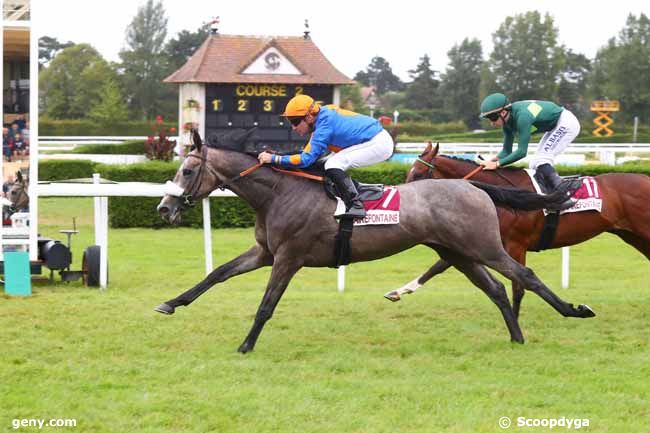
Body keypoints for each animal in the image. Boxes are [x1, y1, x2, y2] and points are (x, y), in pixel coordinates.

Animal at [153, 131, 592, 352]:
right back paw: (516, 336)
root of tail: (476, 187)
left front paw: (246, 345)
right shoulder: (264, 252)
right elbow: (216, 274)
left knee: (525, 276)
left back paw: (574, 311)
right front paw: (170, 303)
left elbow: (266, 305)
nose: (163, 208)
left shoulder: (288, 257)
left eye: (188, 171)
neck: (278, 193)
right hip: (458, 252)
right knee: (498, 289)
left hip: (484, 246)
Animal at [384, 143, 648, 316]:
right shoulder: (480, 243)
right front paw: (398, 291)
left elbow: (519, 286)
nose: (405, 200)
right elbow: (438, 266)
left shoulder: (514, 245)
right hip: (633, 236)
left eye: (418, 173)